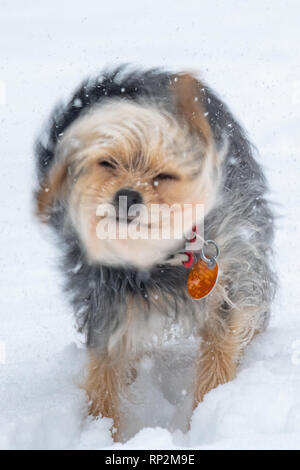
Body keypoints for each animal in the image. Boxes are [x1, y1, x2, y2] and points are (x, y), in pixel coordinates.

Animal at [34, 65, 276, 436]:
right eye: (107, 163)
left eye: (165, 175)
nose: (127, 196)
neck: (155, 257)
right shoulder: (104, 302)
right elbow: (104, 375)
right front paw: (100, 431)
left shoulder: (228, 279)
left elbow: (218, 356)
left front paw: (207, 416)